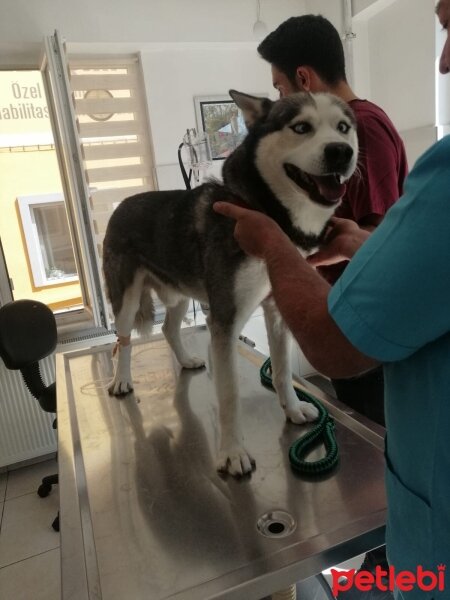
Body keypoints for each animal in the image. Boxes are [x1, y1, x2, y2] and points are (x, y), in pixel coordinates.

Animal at [103, 89, 358, 476]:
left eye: (343, 128)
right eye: (301, 128)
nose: (341, 152)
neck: (264, 211)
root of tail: (122, 203)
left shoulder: (277, 310)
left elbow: (282, 370)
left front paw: (293, 409)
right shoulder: (225, 319)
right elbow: (229, 394)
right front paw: (232, 452)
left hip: (181, 293)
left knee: (169, 329)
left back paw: (185, 360)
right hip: (127, 300)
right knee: (124, 340)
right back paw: (121, 379)